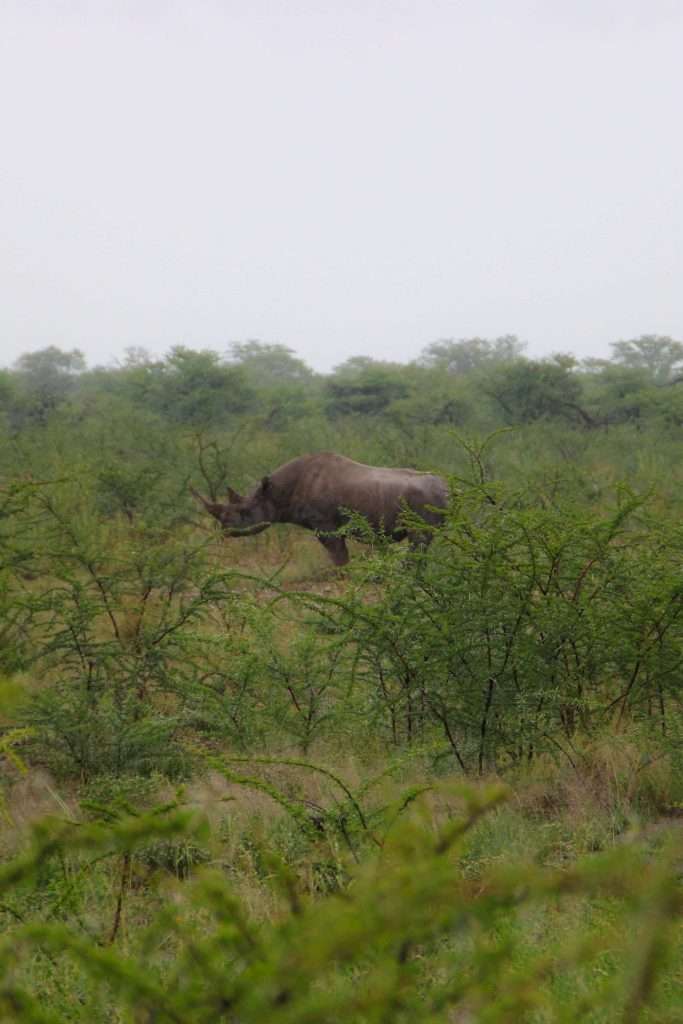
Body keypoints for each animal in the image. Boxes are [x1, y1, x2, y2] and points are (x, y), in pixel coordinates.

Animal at [192, 452, 448, 565]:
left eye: (243, 513)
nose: (224, 531)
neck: (275, 493)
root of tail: (445, 488)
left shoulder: (324, 524)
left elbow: (338, 555)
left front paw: (344, 577)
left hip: (422, 502)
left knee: (419, 540)